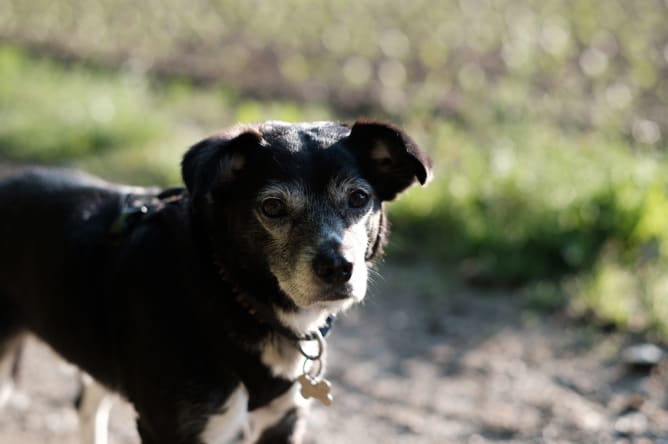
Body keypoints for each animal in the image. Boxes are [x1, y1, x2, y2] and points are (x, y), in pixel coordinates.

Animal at [0, 119, 434, 442]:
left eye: (359, 198)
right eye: (272, 206)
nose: (339, 268)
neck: (231, 295)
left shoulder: (283, 423)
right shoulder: (173, 430)